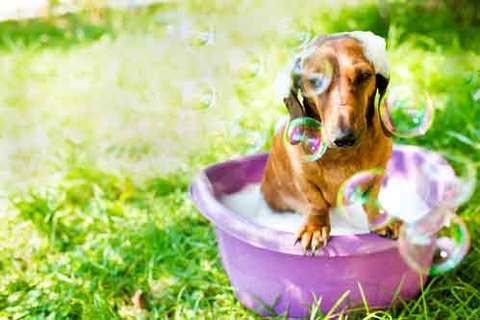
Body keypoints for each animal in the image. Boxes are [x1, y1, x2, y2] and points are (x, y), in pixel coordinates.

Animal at [260, 33, 400, 252]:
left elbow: (372, 198)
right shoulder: (305, 180)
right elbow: (316, 203)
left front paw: (381, 220)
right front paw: (315, 227)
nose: (344, 137)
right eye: (315, 81)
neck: (343, 156)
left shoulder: (377, 173)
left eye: (364, 76)